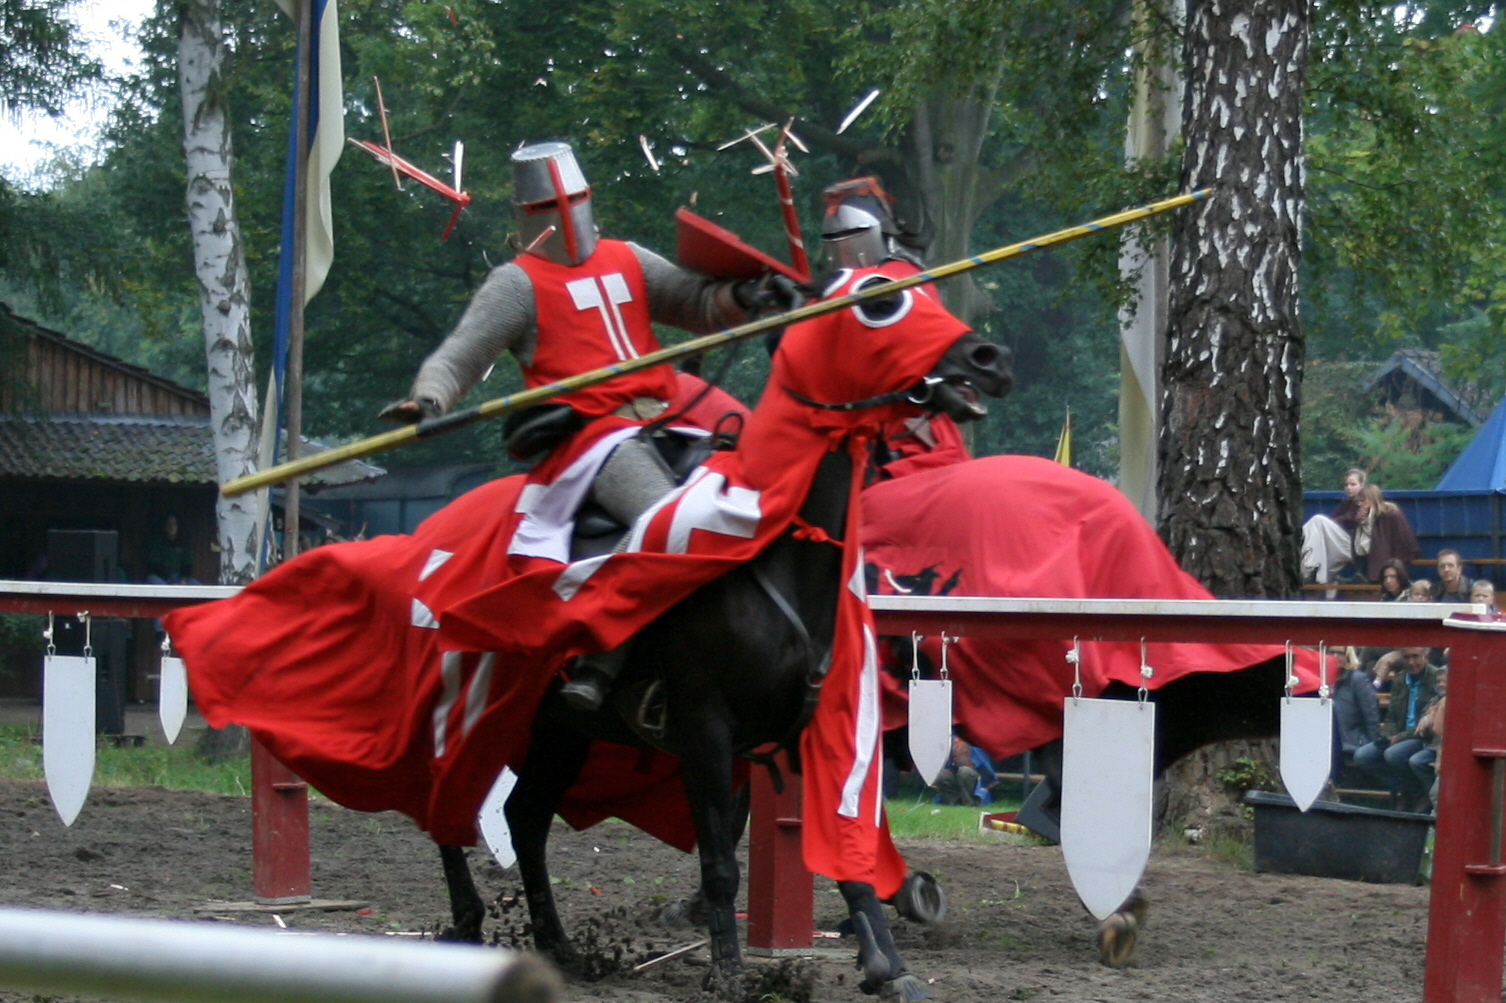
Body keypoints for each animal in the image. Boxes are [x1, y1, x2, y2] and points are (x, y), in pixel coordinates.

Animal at [439, 326, 1012, 993]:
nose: (985, 362)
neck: (785, 558)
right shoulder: (704, 728)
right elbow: (719, 858)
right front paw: (730, 969)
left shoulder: (808, 728)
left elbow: (837, 845)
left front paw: (888, 963)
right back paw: (468, 917)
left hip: (560, 730)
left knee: (525, 817)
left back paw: (558, 945)